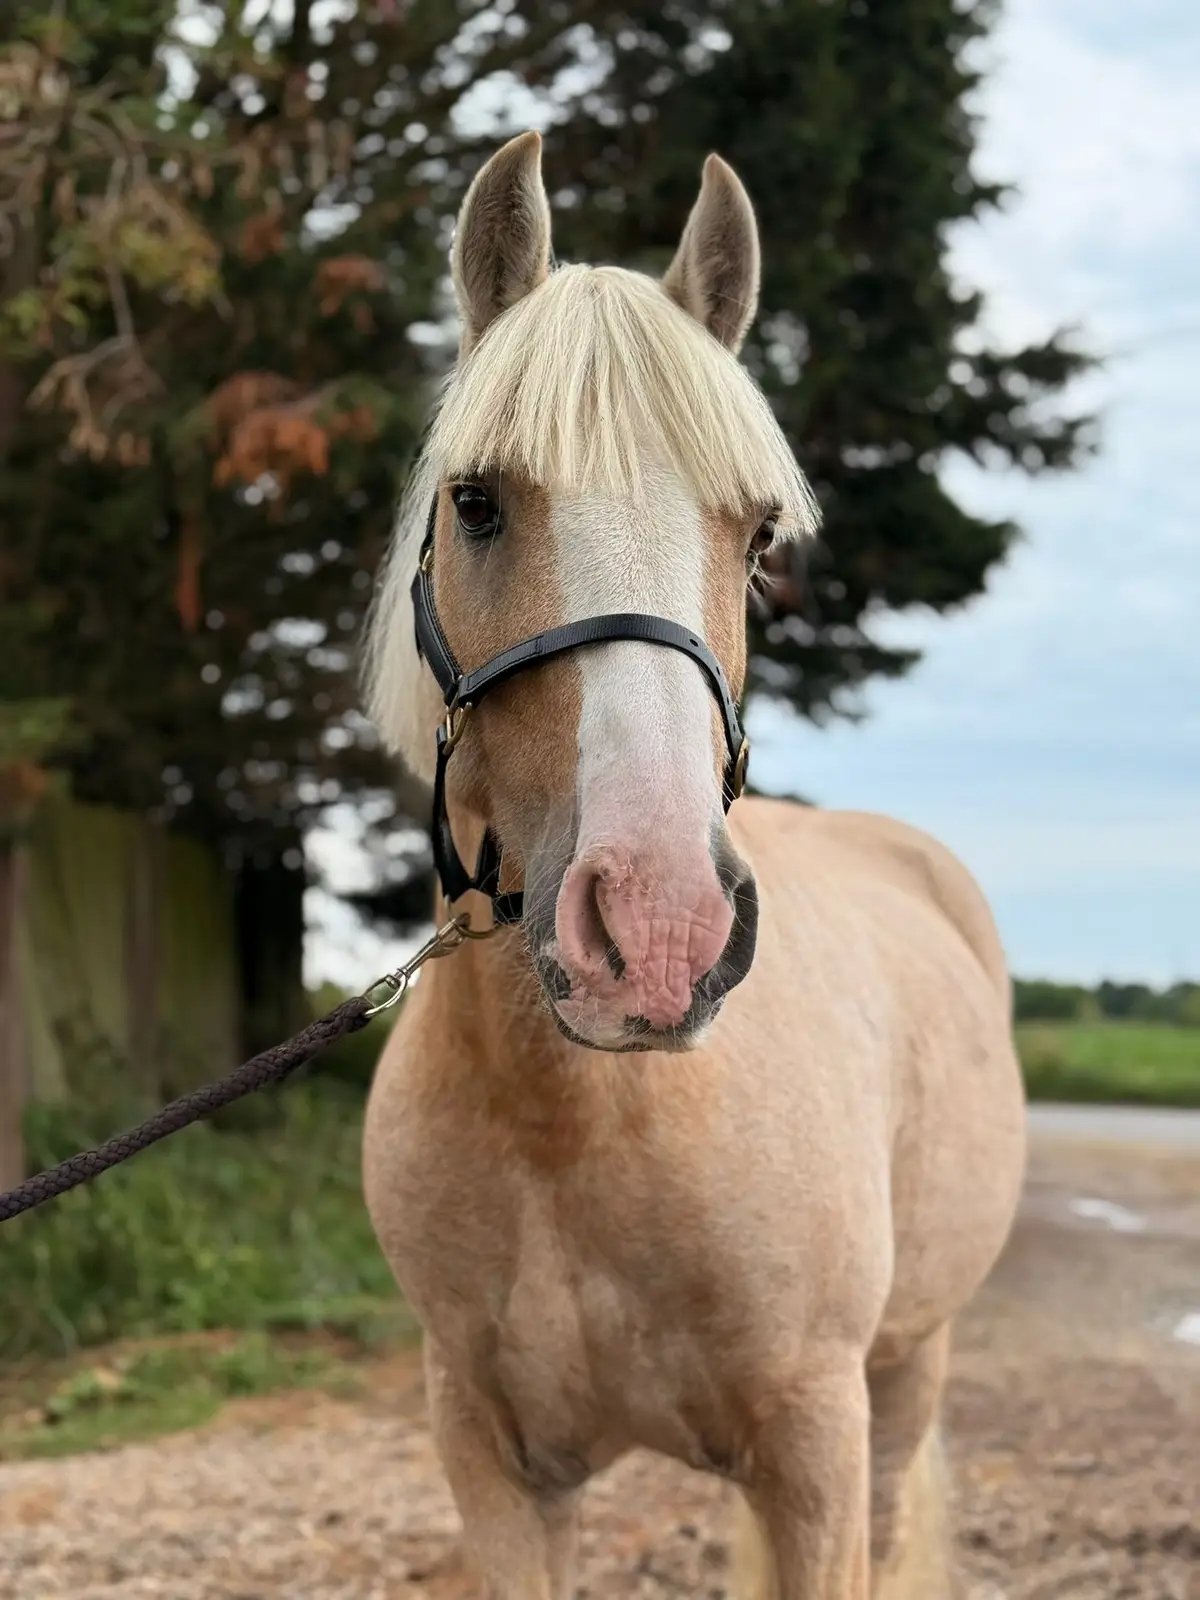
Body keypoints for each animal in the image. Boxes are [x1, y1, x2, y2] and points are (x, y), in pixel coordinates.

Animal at [362, 131, 1026, 1599]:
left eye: (760, 533)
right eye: (476, 502)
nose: (658, 932)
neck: (577, 1126)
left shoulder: (817, 1452)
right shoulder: (490, 1463)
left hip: (909, 1371)